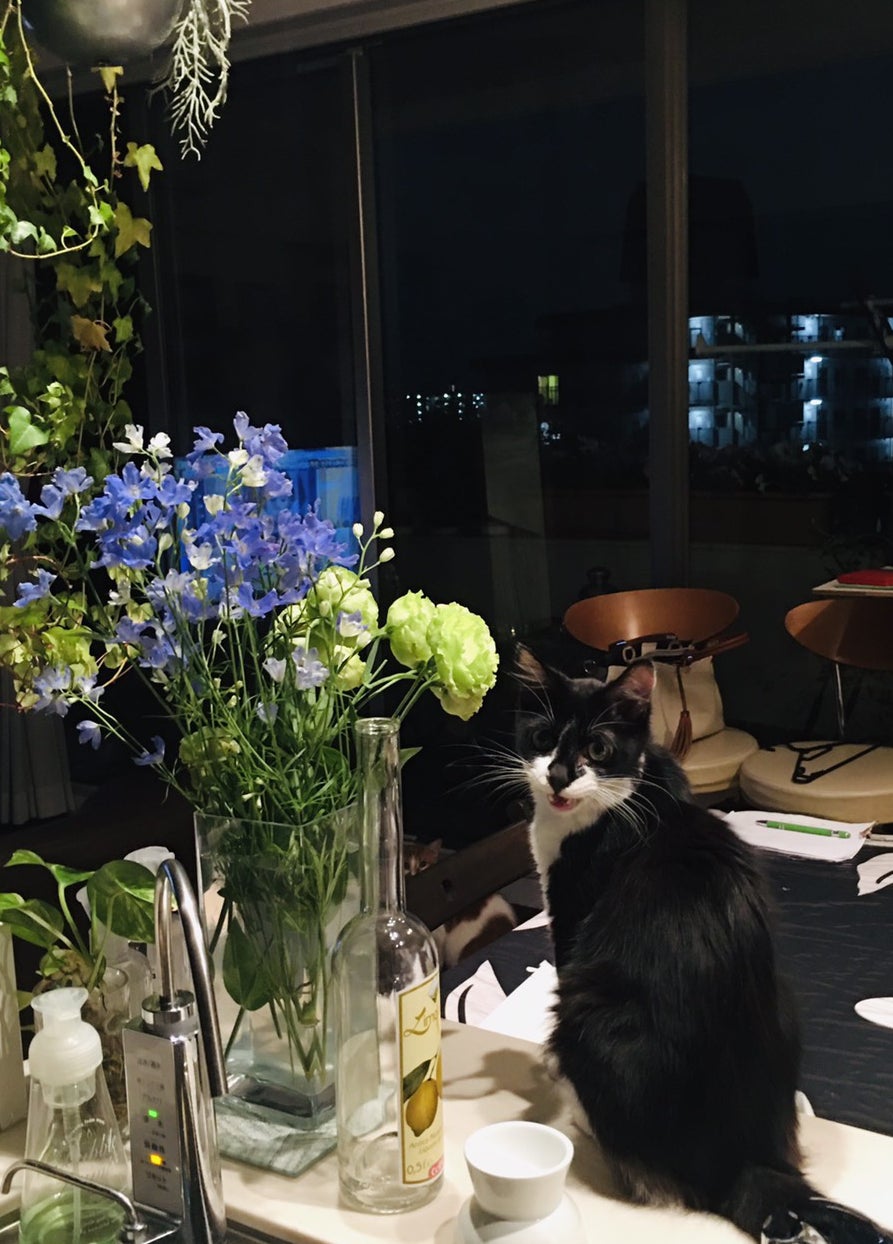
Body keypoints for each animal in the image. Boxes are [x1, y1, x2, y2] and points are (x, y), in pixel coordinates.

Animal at [514, 645, 817, 1240]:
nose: (558, 777)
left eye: (598, 748)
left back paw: (584, 1117)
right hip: (785, 993)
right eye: (542, 738)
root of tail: (740, 1163)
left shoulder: (571, 909)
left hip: (588, 1008)